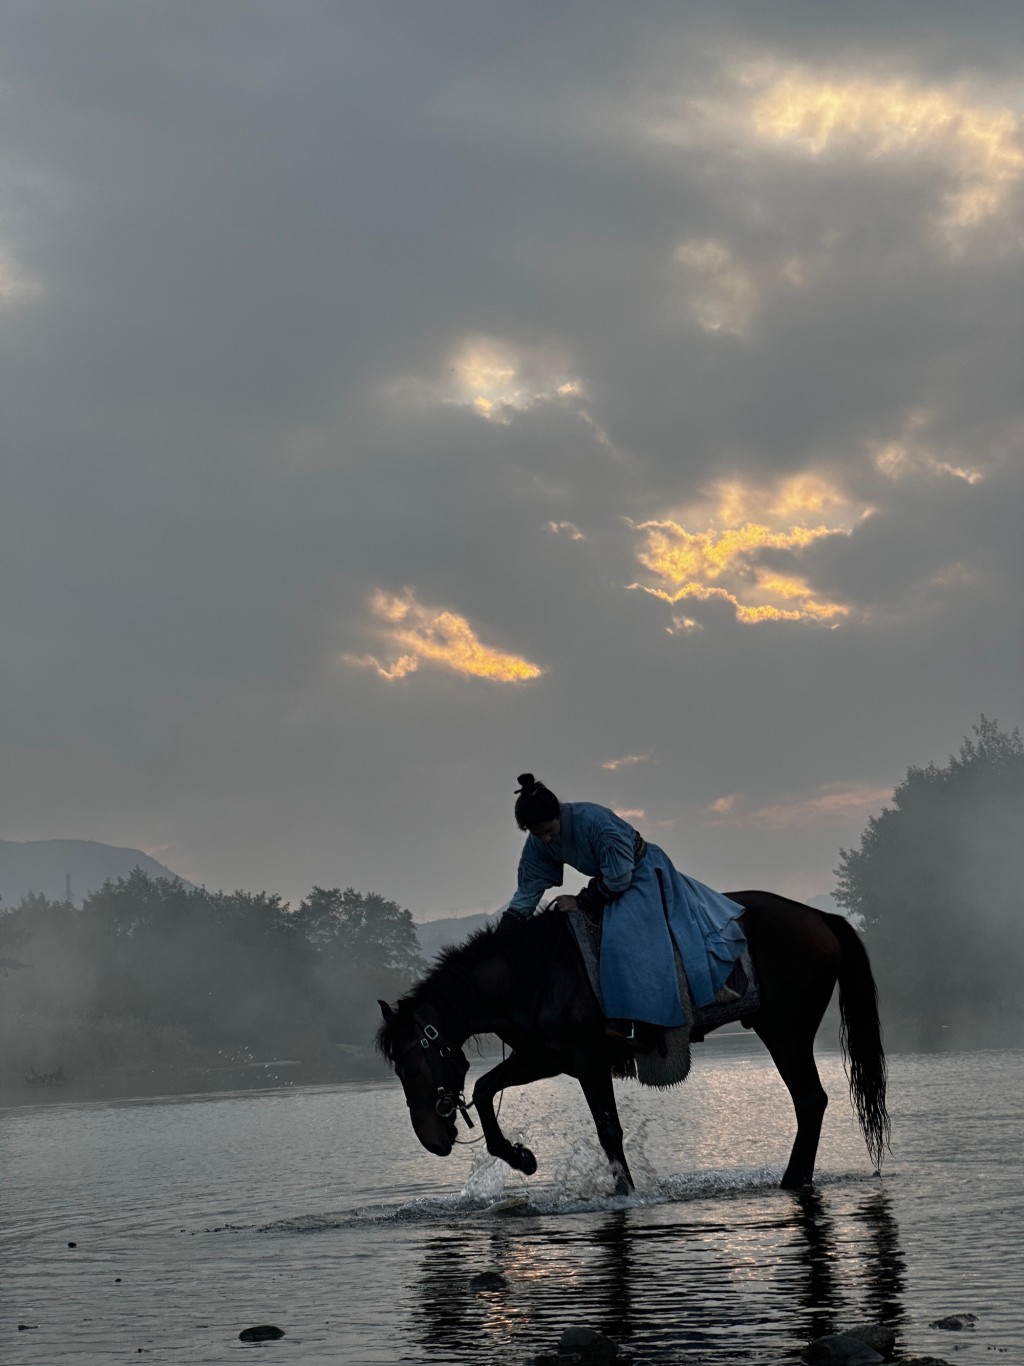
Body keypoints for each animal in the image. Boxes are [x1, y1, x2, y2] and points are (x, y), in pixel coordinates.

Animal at [376, 890, 890, 1191]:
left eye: (412, 1067)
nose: (431, 1139)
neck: (533, 973)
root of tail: (818, 916)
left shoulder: (587, 1060)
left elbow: (608, 1130)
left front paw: (623, 1193)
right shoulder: (544, 1056)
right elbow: (484, 1089)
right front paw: (520, 1158)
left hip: (785, 1031)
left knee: (810, 1100)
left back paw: (791, 1179)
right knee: (810, 1101)